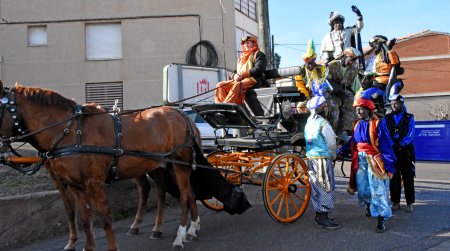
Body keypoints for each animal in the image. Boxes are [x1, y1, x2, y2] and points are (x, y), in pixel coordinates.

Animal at [0, 82, 250, 249]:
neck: (71, 132)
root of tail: (182, 116)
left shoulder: (93, 183)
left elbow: (104, 218)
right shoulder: (74, 185)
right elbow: (83, 218)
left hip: (179, 165)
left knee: (185, 195)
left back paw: (180, 236)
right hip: (165, 165)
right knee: (180, 193)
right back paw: (190, 229)